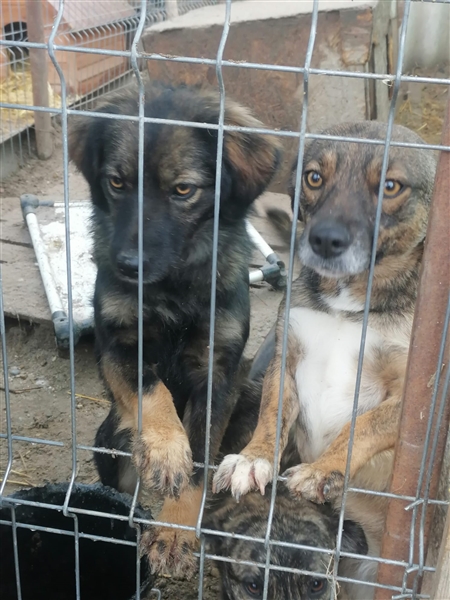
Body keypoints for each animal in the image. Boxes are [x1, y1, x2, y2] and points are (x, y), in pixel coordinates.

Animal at [68, 81, 280, 578]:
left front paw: (176, 530)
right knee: (121, 486)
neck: (172, 286)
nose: (127, 266)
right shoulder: (117, 347)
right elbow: (153, 390)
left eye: (183, 189)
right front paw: (166, 449)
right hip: (110, 440)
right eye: (117, 182)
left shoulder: (218, 370)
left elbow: (200, 457)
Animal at [213, 121, 436, 593]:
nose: (324, 240)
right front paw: (252, 458)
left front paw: (321, 470)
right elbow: (270, 414)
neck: (345, 302)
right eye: (314, 177)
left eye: (391, 186)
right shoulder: (286, 360)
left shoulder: (412, 402)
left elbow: (360, 427)